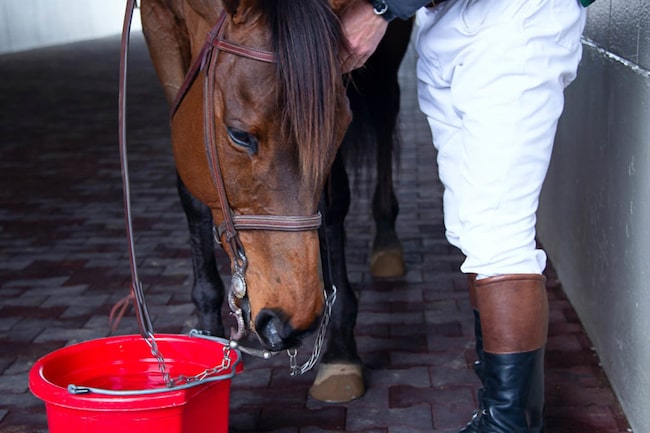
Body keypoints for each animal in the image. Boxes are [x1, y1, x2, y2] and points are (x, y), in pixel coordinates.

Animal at [140, 0, 410, 402]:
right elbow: (192, 196)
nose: (287, 322)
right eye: (239, 135)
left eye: (339, 129)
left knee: (386, 107)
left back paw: (387, 235)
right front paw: (207, 334)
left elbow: (332, 202)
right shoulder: (158, 24)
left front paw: (340, 351)